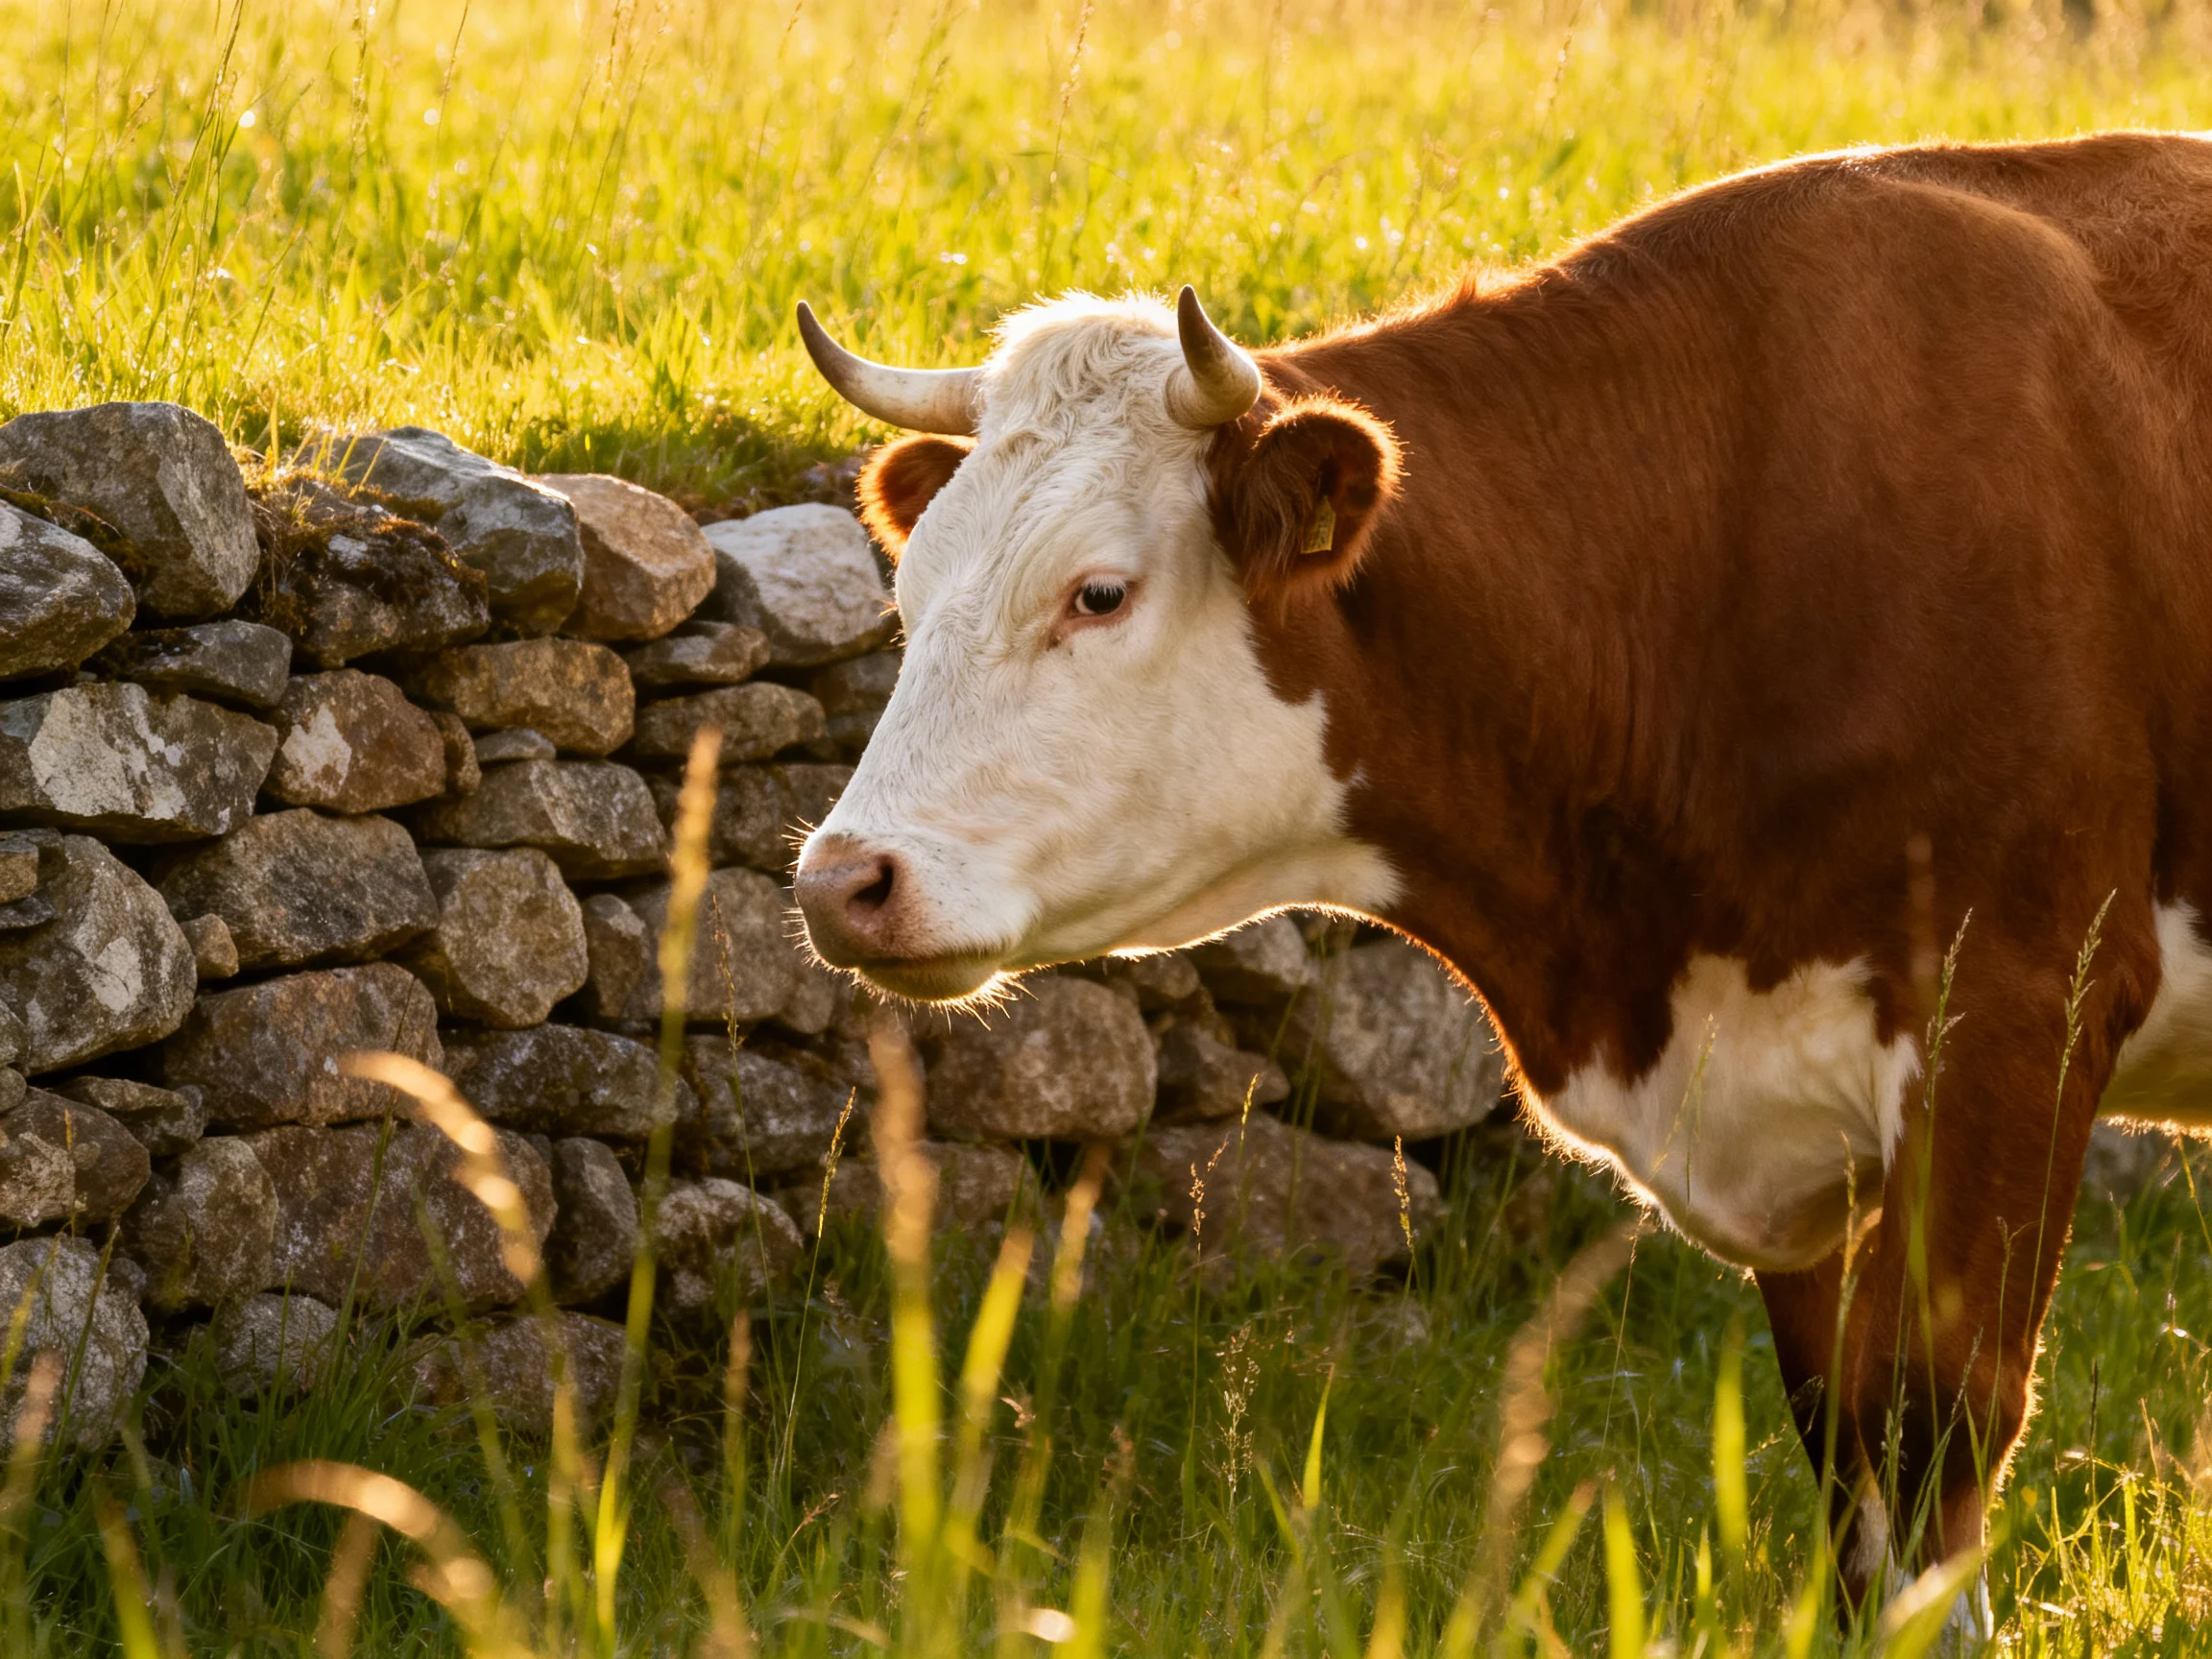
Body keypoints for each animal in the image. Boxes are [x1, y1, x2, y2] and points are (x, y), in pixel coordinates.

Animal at [788, 132, 2212, 1628]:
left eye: (1099, 593)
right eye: (910, 592)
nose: (842, 883)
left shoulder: (2017, 1015)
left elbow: (1936, 1424)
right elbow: (1849, 1455)